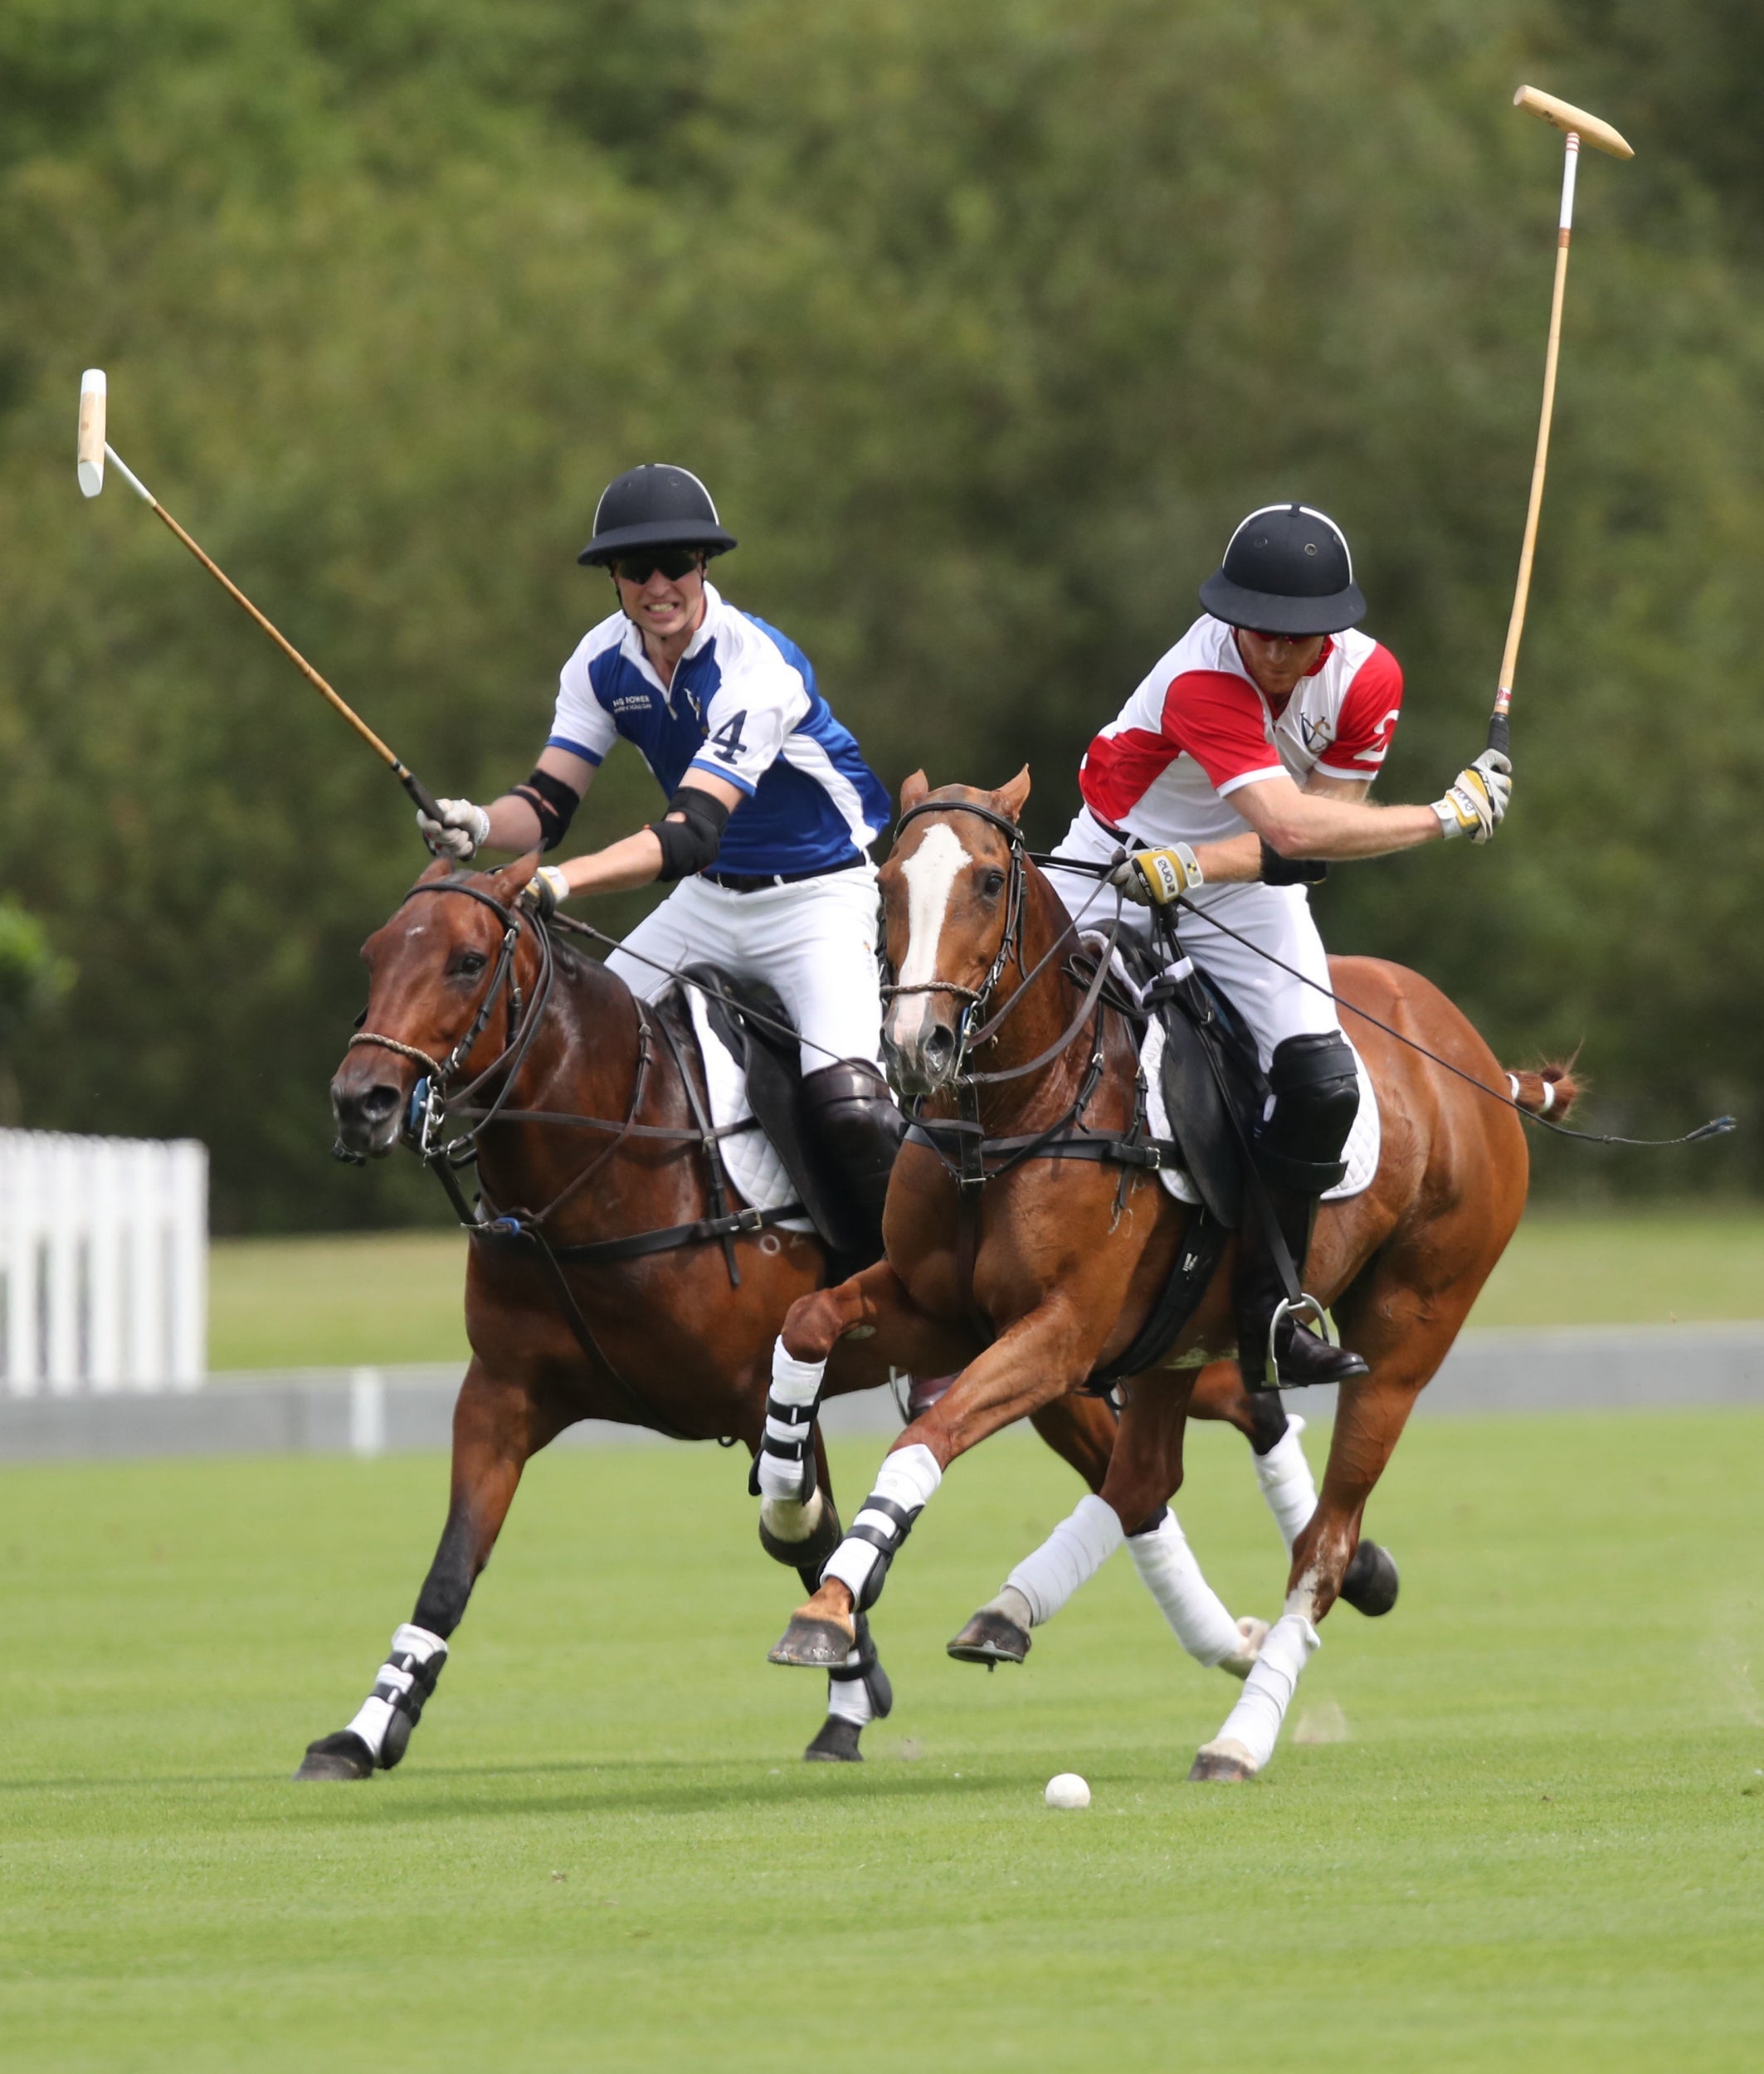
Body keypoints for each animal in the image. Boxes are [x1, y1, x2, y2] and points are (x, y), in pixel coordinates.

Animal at [292, 850, 1137, 1775]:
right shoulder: (500, 1396)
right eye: (374, 955)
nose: (361, 1101)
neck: (604, 1163)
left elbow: (804, 1525)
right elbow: (450, 1570)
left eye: (467, 961)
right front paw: (364, 1732)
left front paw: (851, 1679)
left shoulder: (759, 1390)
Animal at [767, 772, 1568, 1775]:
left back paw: (1239, 1737)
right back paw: (1010, 1611)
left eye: (988, 881)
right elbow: (805, 1321)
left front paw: (825, 1608)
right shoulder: (942, 1311)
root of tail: (1481, 1065)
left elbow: (926, 1436)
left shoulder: (1060, 1333)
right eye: (884, 882)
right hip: (1173, 1338)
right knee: (1145, 1479)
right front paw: (790, 1511)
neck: (1013, 1115)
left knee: (1324, 1542)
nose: (919, 1046)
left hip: (1408, 1332)